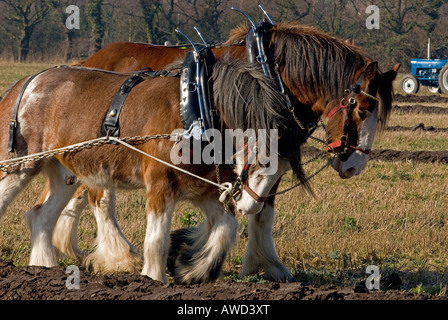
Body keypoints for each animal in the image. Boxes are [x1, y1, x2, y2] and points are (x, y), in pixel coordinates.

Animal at [0, 21, 400, 282]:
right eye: (362, 108)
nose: (354, 164)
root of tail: (26, 82)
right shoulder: (163, 182)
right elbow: (159, 236)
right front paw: (155, 277)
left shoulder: (212, 187)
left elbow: (238, 223)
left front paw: (202, 263)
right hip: (22, 165)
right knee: (96, 199)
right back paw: (117, 257)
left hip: (64, 168)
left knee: (43, 212)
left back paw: (45, 266)